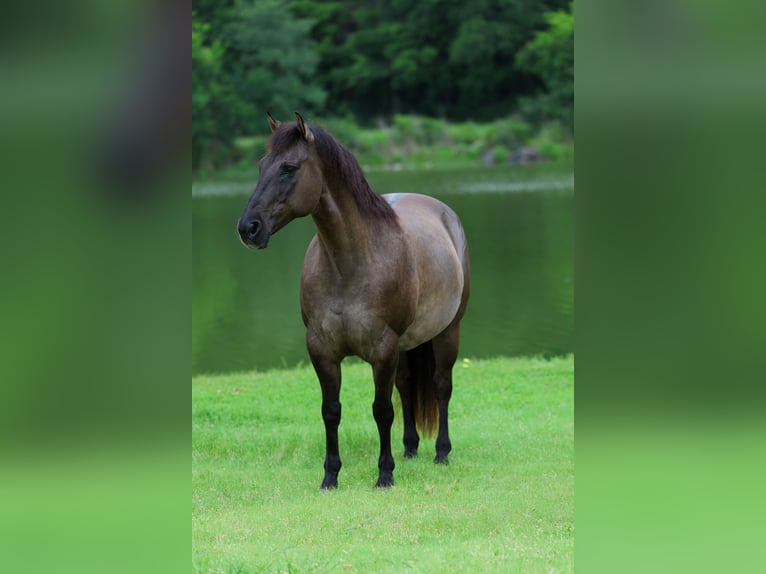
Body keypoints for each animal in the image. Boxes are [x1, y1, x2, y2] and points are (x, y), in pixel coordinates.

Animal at [237, 112, 470, 489]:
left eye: (289, 167)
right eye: (261, 165)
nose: (248, 229)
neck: (350, 265)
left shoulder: (383, 349)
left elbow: (382, 410)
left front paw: (385, 475)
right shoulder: (322, 349)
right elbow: (331, 411)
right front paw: (330, 476)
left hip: (448, 332)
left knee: (441, 385)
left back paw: (441, 452)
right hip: (407, 345)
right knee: (407, 386)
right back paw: (410, 449)